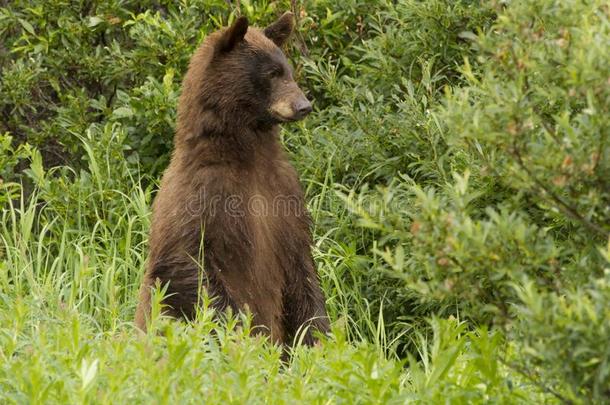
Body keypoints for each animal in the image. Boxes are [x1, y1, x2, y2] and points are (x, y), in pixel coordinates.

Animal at [135, 11, 330, 346]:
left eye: (288, 71)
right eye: (271, 73)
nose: (304, 105)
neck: (246, 156)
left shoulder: (286, 192)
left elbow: (302, 266)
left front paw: (318, 338)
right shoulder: (200, 193)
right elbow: (185, 261)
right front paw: (242, 334)